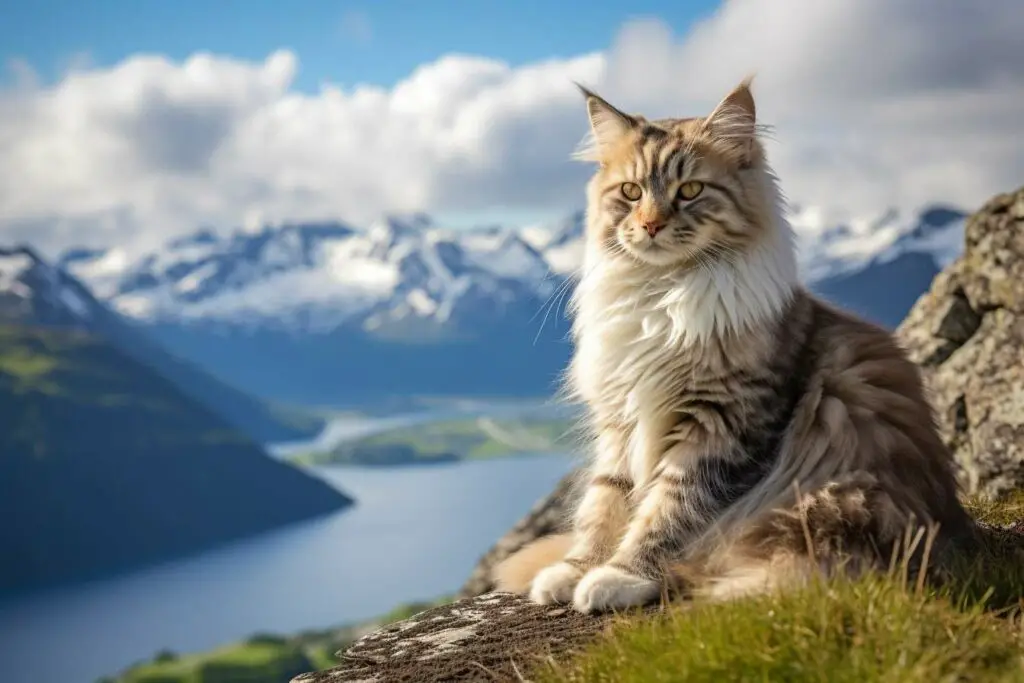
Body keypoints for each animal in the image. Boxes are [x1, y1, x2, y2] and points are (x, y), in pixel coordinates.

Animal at [493, 77, 974, 610]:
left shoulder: (720, 428)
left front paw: (619, 575)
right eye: (630, 192)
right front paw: (576, 568)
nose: (651, 225)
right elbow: (606, 503)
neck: (662, 298)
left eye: (690, 191)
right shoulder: (620, 424)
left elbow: (667, 511)